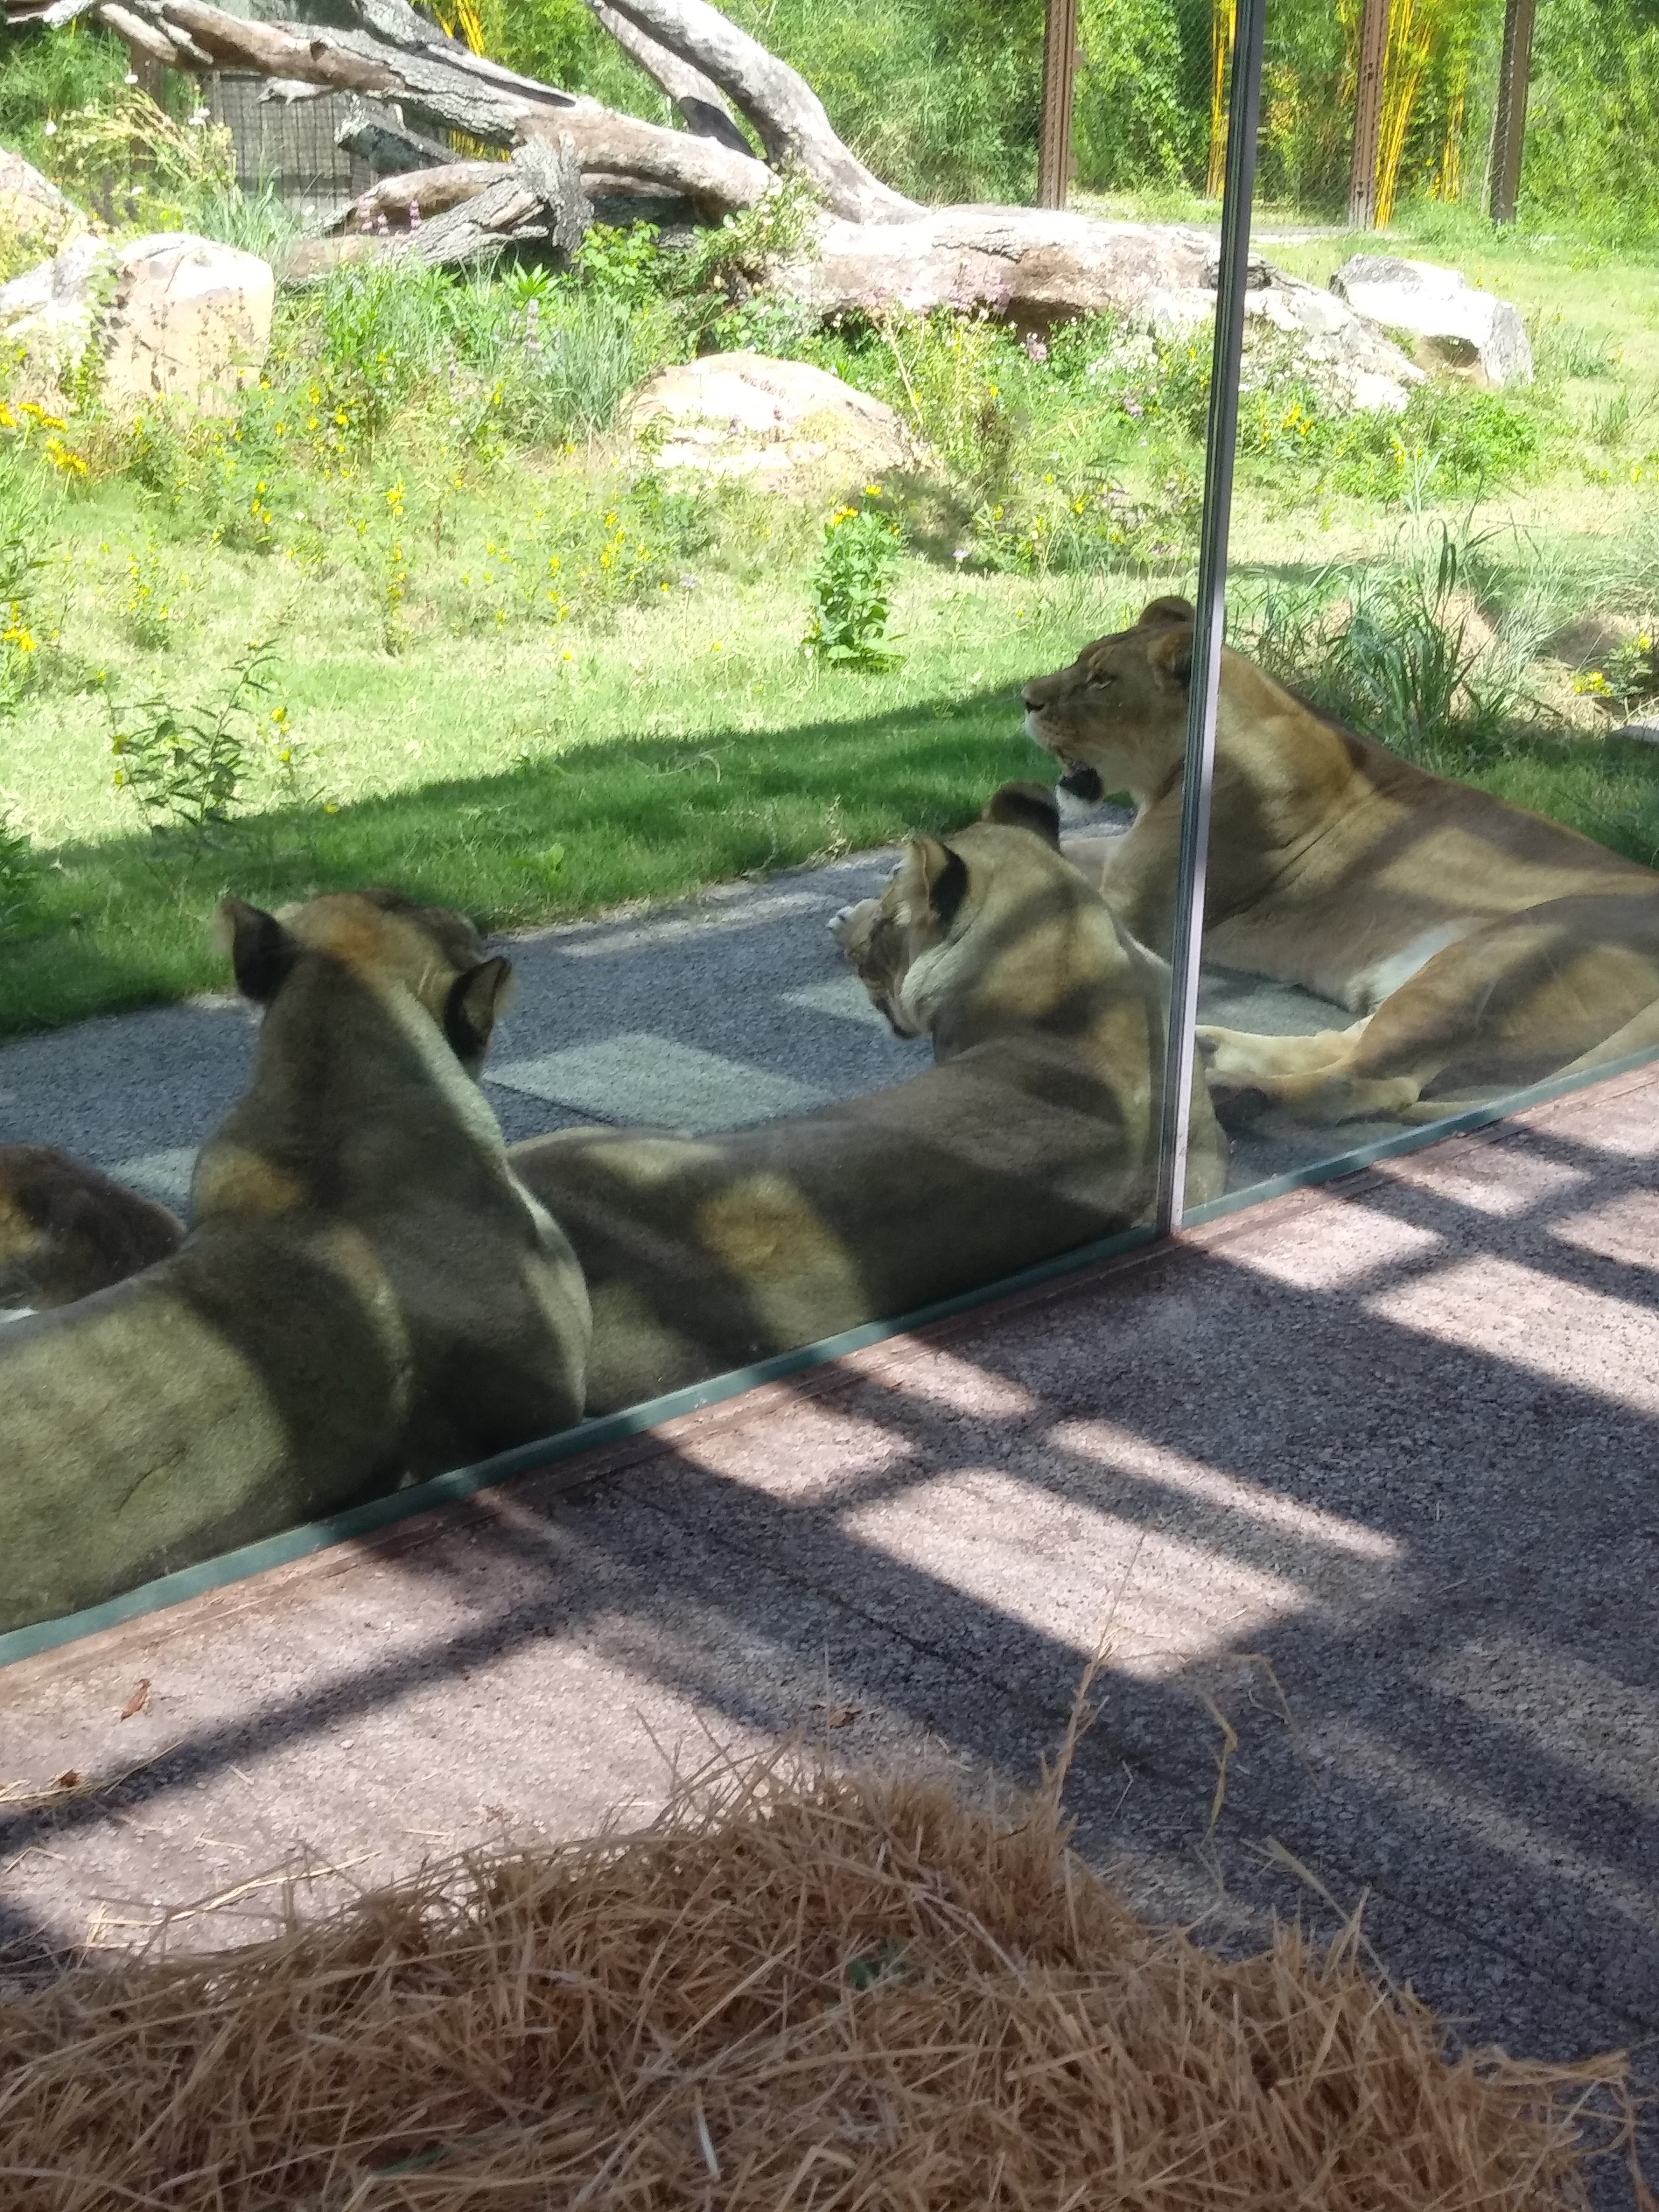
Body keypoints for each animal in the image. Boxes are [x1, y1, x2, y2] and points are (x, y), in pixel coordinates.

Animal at [1024, 596, 1659, 1124]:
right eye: (1083, 661)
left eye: (1102, 679)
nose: (1025, 698)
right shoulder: (1116, 853)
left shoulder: (1142, 912)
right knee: (1346, 1046)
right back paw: (1213, 1049)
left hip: (1492, 963)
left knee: (1371, 1083)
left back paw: (1235, 1093)